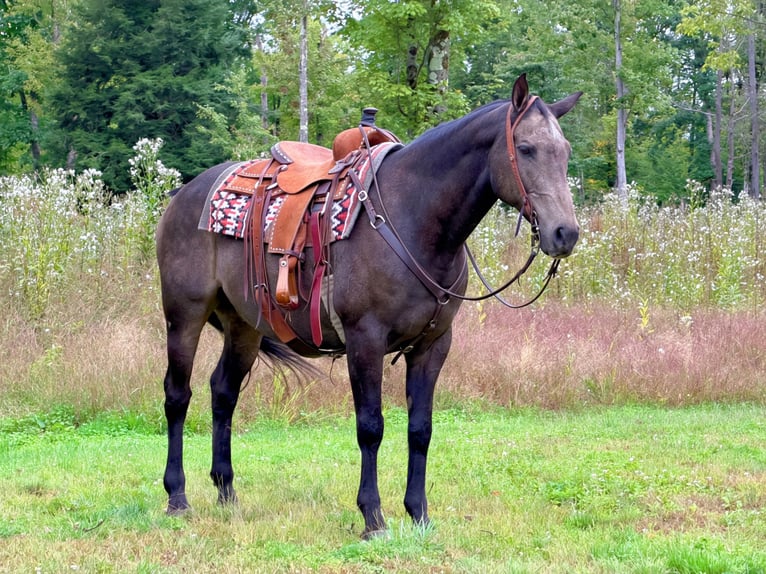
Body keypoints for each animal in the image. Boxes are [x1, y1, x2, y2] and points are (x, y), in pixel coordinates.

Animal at [156, 74, 582, 539]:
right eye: (525, 148)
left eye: (565, 151)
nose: (565, 233)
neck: (415, 218)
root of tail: (183, 194)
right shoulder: (365, 340)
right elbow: (371, 427)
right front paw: (373, 516)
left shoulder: (434, 345)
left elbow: (420, 429)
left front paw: (418, 513)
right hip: (184, 315)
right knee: (177, 395)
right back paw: (177, 495)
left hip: (244, 326)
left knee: (223, 392)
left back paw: (226, 491)